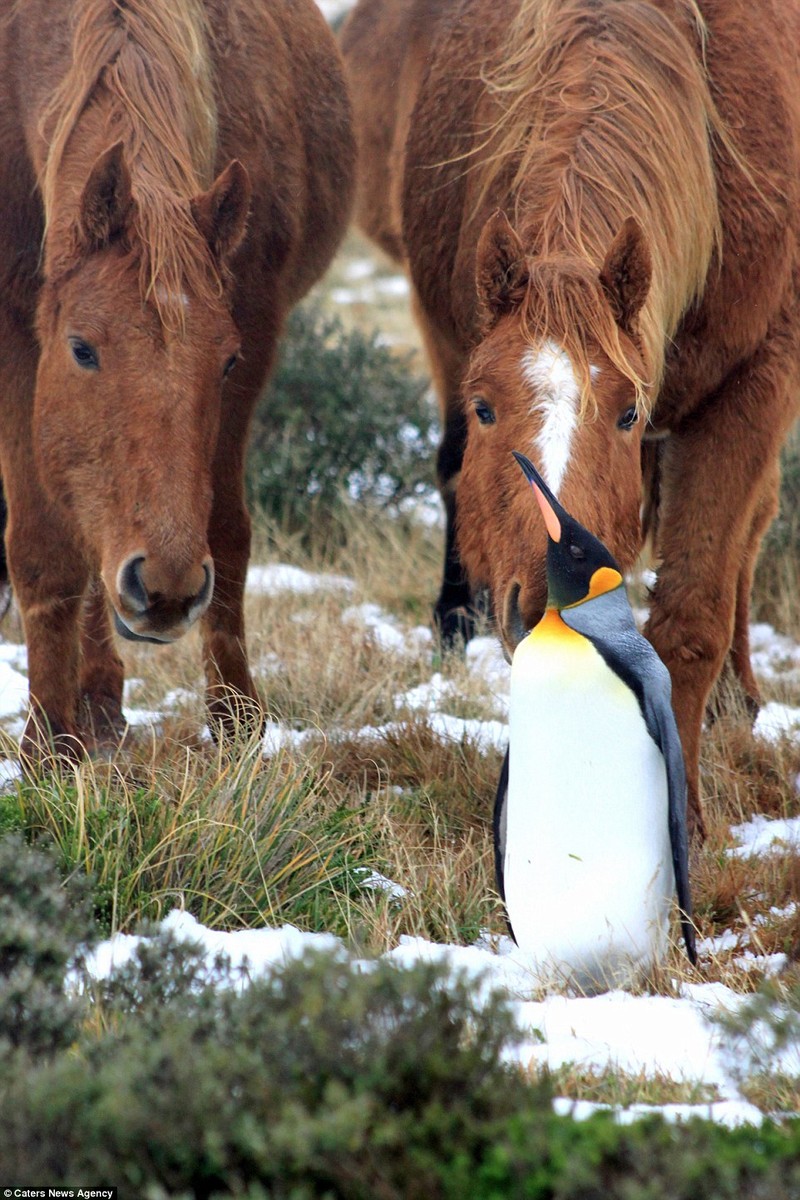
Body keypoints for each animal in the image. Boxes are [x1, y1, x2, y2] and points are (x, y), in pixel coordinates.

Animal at [0, 2, 355, 758]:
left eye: (225, 362)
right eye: (81, 349)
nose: (163, 591)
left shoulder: (256, 325)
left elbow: (227, 528)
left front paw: (236, 718)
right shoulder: (14, 335)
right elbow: (45, 547)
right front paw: (46, 743)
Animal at [343, 0, 800, 835]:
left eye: (628, 414)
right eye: (485, 406)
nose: (554, 592)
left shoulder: (755, 386)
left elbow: (692, 615)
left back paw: (736, 695)